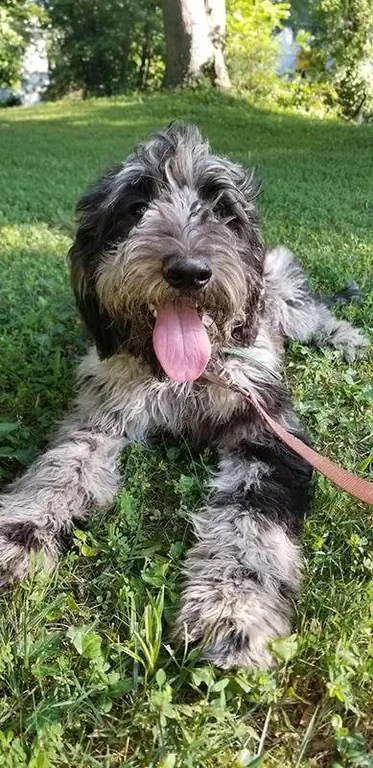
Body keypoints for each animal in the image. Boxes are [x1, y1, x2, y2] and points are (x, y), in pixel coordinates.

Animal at [0, 124, 366, 664]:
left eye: (222, 209)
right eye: (135, 206)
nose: (190, 271)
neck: (182, 377)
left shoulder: (267, 428)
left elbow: (251, 521)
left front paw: (234, 607)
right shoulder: (101, 414)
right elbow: (60, 469)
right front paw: (18, 534)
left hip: (287, 299)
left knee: (318, 315)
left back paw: (349, 339)